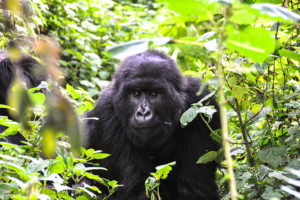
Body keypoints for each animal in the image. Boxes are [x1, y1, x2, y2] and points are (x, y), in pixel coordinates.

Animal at [85, 50, 221, 199]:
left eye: (154, 93)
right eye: (136, 93)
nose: (143, 113)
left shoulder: (200, 102)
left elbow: (194, 186)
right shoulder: (106, 113)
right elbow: (139, 188)